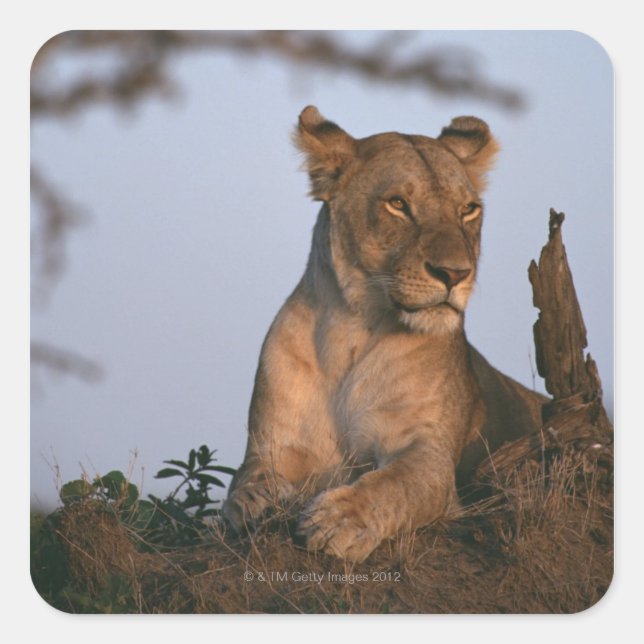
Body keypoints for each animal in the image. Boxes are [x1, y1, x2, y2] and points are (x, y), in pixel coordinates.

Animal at [222, 106, 545, 562]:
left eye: (468, 209)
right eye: (398, 204)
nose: (455, 274)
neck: (350, 332)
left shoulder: (428, 454)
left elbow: (394, 485)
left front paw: (339, 520)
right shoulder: (272, 445)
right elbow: (243, 482)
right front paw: (259, 504)